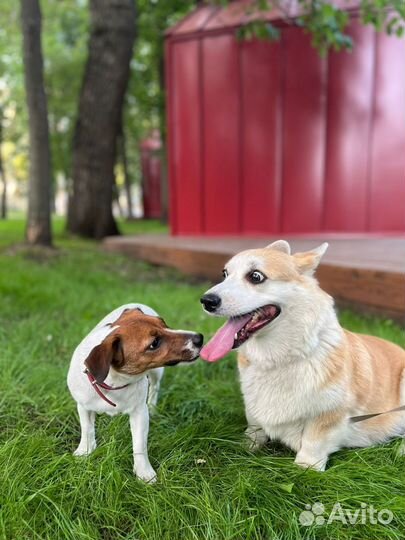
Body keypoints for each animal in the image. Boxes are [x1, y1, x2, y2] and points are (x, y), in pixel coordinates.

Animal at [67, 302, 204, 484]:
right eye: (154, 343)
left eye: (163, 323)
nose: (199, 338)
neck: (114, 381)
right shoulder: (83, 406)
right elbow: (87, 428)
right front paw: (85, 450)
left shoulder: (139, 412)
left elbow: (139, 444)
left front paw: (143, 472)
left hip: (156, 374)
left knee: (154, 388)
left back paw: (153, 407)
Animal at [199, 243, 404, 470]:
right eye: (225, 274)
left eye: (255, 276)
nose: (206, 301)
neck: (279, 359)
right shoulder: (253, 407)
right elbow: (254, 426)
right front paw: (247, 445)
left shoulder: (329, 414)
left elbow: (313, 443)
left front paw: (305, 467)